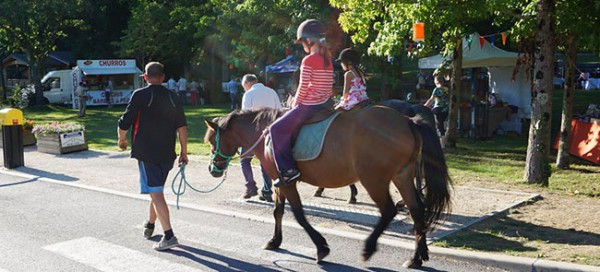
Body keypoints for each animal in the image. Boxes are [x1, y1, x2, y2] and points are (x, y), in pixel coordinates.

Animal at [205, 105, 450, 268]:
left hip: (374, 179)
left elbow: (299, 215)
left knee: (389, 210)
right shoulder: (279, 182)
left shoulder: (287, 183)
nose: (212, 169)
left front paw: (321, 247)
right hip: (402, 176)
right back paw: (417, 257)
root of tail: (407, 120)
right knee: (417, 210)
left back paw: (368, 248)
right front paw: (275, 241)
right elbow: (278, 211)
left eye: (211, 141)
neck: (265, 131)